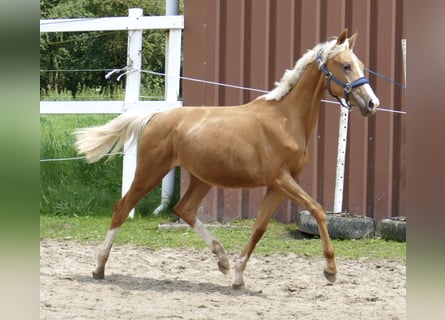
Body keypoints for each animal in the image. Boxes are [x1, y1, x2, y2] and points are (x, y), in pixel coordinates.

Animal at [74, 30, 376, 288]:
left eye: (361, 64)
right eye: (346, 66)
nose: (372, 103)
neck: (284, 120)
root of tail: (156, 116)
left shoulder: (278, 185)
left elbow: (259, 227)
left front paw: (239, 277)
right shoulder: (281, 179)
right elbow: (317, 210)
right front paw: (330, 271)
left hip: (202, 178)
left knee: (185, 209)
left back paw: (223, 260)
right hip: (151, 171)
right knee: (122, 208)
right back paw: (99, 268)